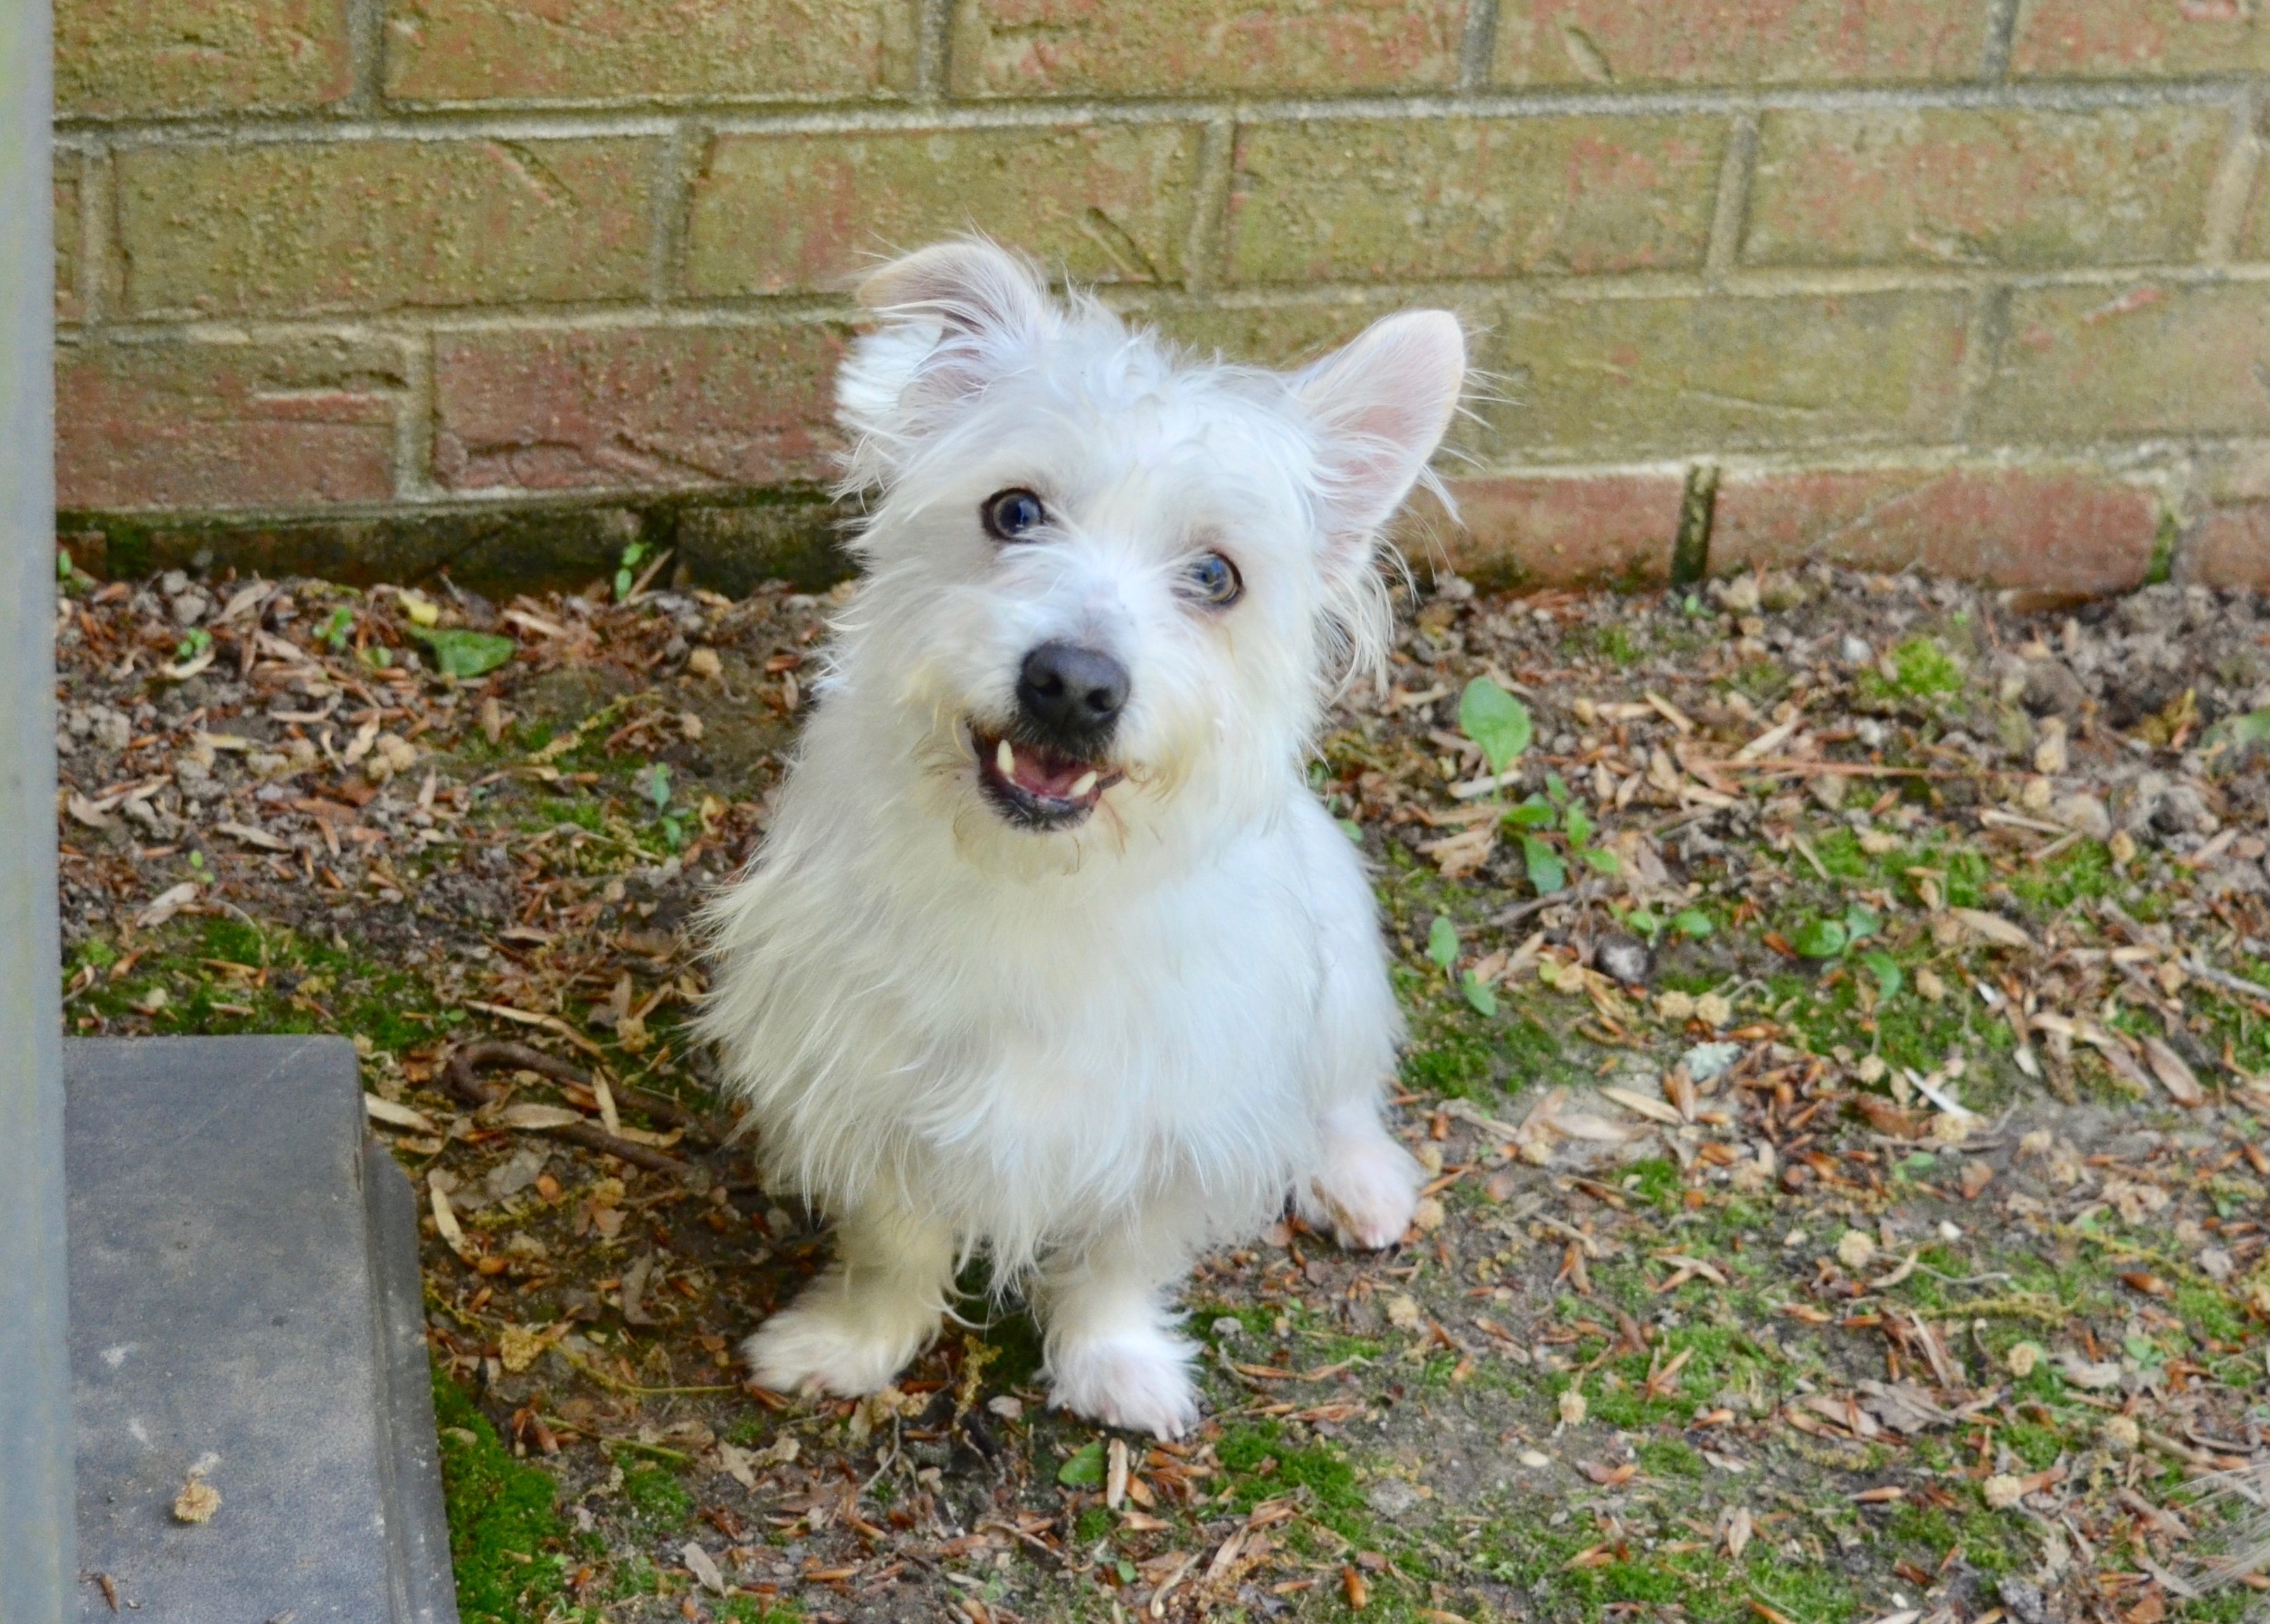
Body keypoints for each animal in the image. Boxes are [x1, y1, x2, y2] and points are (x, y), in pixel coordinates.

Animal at [699, 238, 1461, 1435]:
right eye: (1013, 512)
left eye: (1216, 575)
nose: (1072, 684)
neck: (1034, 880)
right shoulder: (865, 1087)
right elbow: (893, 1246)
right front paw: (851, 1344)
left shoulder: (1179, 1121)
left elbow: (1119, 1259)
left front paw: (1116, 1365)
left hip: (1336, 966)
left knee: (1336, 1089)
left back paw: (1358, 1178)